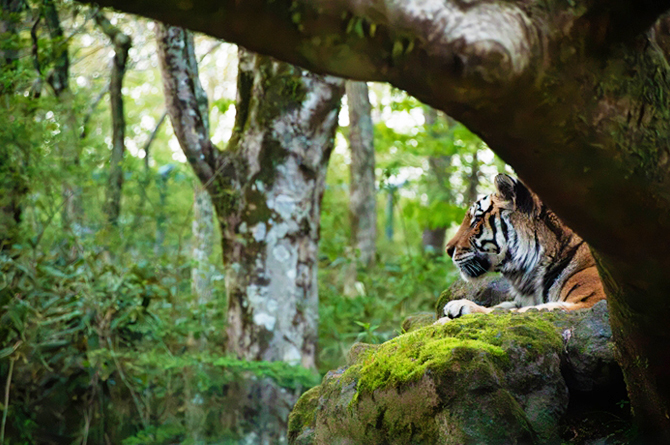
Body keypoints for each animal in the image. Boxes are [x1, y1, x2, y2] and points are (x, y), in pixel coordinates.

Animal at [438, 172, 608, 320]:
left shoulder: (590, 301)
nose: (448, 250)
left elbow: (514, 312)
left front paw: (460, 306)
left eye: (476, 221)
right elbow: (504, 306)